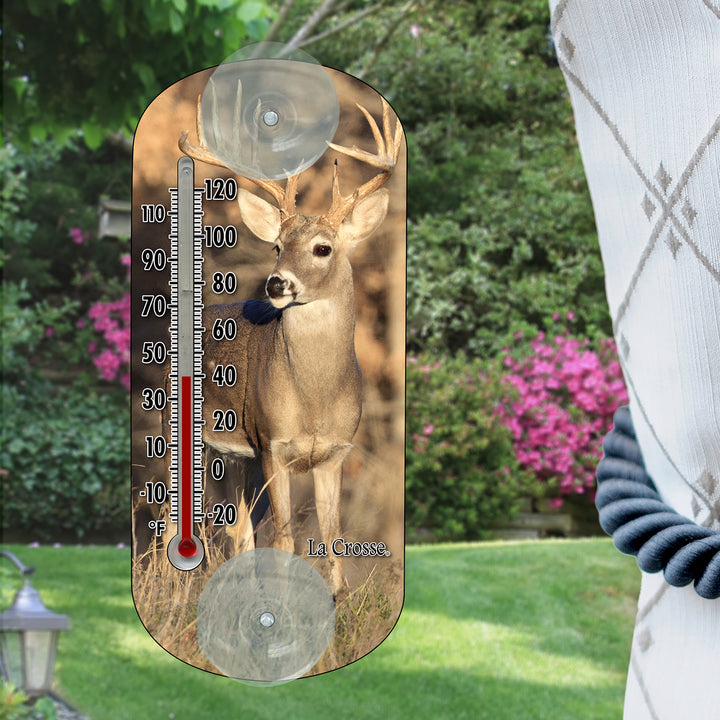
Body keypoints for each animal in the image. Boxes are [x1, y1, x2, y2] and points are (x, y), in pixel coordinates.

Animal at [178, 84, 401, 597]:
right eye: (277, 246)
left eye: (323, 248)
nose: (277, 283)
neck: (314, 399)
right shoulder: (274, 444)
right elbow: (284, 537)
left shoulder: (335, 453)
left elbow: (333, 534)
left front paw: (335, 601)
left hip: (241, 458)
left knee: (238, 527)